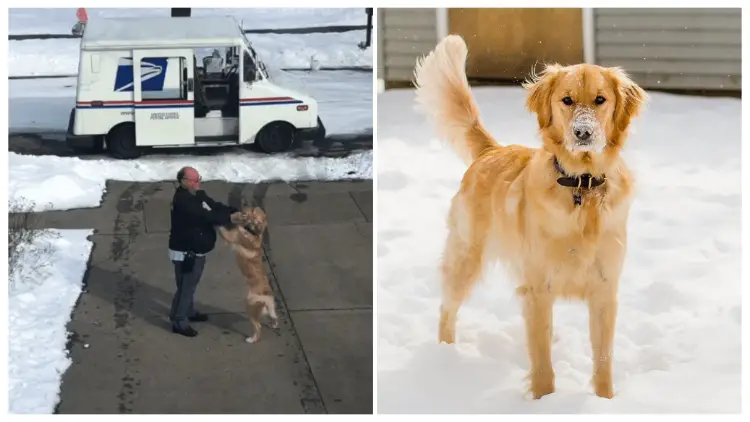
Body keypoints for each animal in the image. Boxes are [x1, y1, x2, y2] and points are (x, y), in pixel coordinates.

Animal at [219, 206, 280, 344]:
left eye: (253, 212)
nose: (245, 208)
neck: (253, 232)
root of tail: (267, 297)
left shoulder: (231, 236)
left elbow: (221, 229)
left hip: (250, 308)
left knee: (258, 327)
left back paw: (251, 339)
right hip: (269, 309)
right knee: (274, 316)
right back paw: (274, 324)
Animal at [414, 35, 648, 398]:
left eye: (600, 100)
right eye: (567, 100)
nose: (583, 133)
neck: (581, 186)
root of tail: (492, 151)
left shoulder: (605, 290)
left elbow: (603, 359)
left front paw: (605, 400)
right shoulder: (539, 287)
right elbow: (541, 362)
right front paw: (544, 399)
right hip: (466, 258)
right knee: (446, 308)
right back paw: (445, 357)